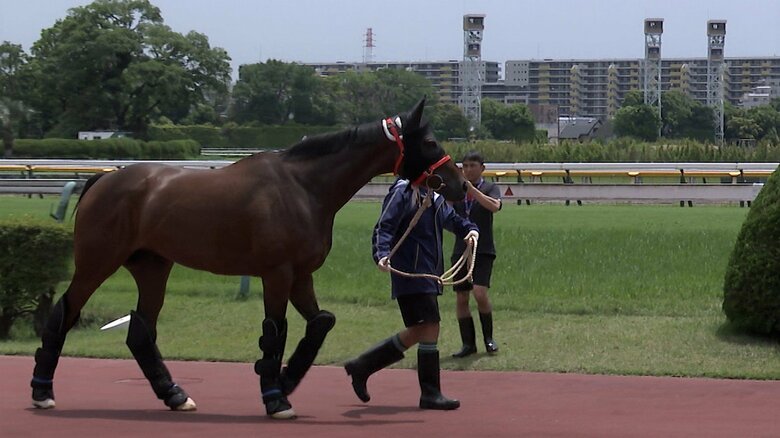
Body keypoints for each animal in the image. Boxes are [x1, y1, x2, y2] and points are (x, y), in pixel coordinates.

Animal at [30, 98, 468, 419]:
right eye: (431, 142)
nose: (460, 185)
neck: (303, 187)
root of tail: (104, 179)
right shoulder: (277, 274)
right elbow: (275, 331)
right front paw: (275, 395)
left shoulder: (301, 275)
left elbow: (322, 322)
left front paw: (287, 379)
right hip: (96, 263)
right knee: (64, 313)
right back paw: (42, 391)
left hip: (153, 266)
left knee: (140, 332)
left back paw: (174, 395)